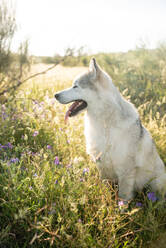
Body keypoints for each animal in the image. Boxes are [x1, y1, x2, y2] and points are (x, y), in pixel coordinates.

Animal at [54, 58, 166, 202]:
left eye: (76, 86)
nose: (55, 95)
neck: (105, 122)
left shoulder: (125, 171)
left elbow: (123, 197)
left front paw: (121, 208)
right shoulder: (102, 166)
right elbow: (105, 187)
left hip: (155, 182)